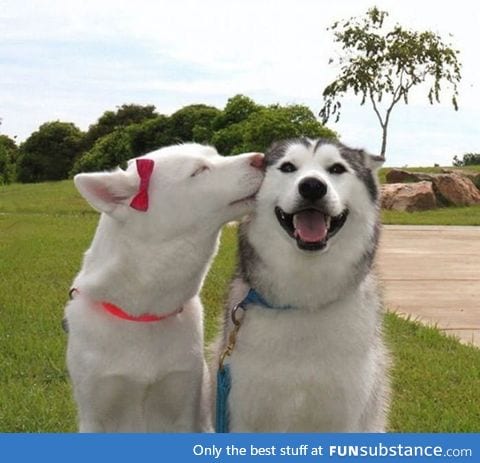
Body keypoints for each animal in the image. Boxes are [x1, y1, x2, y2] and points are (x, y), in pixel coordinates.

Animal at [64, 143, 264, 434]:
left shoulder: (184, 404)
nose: (263, 158)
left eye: (216, 154)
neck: (144, 315)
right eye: (198, 171)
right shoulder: (95, 413)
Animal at [216, 139, 392, 436]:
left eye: (336, 168)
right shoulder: (243, 409)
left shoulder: (346, 412)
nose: (312, 186)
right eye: (288, 167)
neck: (305, 301)